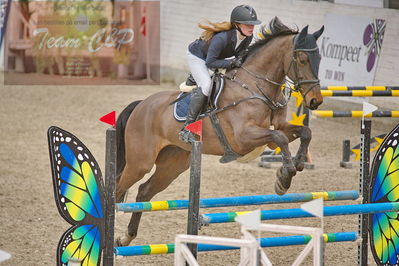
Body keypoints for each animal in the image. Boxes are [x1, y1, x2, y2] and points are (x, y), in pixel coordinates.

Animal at [115, 19, 324, 247]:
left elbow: (304, 132)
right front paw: (284, 178)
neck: (255, 87)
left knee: (144, 191)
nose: (315, 101)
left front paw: (298, 163)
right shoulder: (243, 138)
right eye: (302, 59)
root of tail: (140, 105)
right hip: (140, 163)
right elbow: (280, 138)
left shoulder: (278, 127)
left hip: (173, 164)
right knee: (117, 190)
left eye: (319, 58)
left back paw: (126, 237)